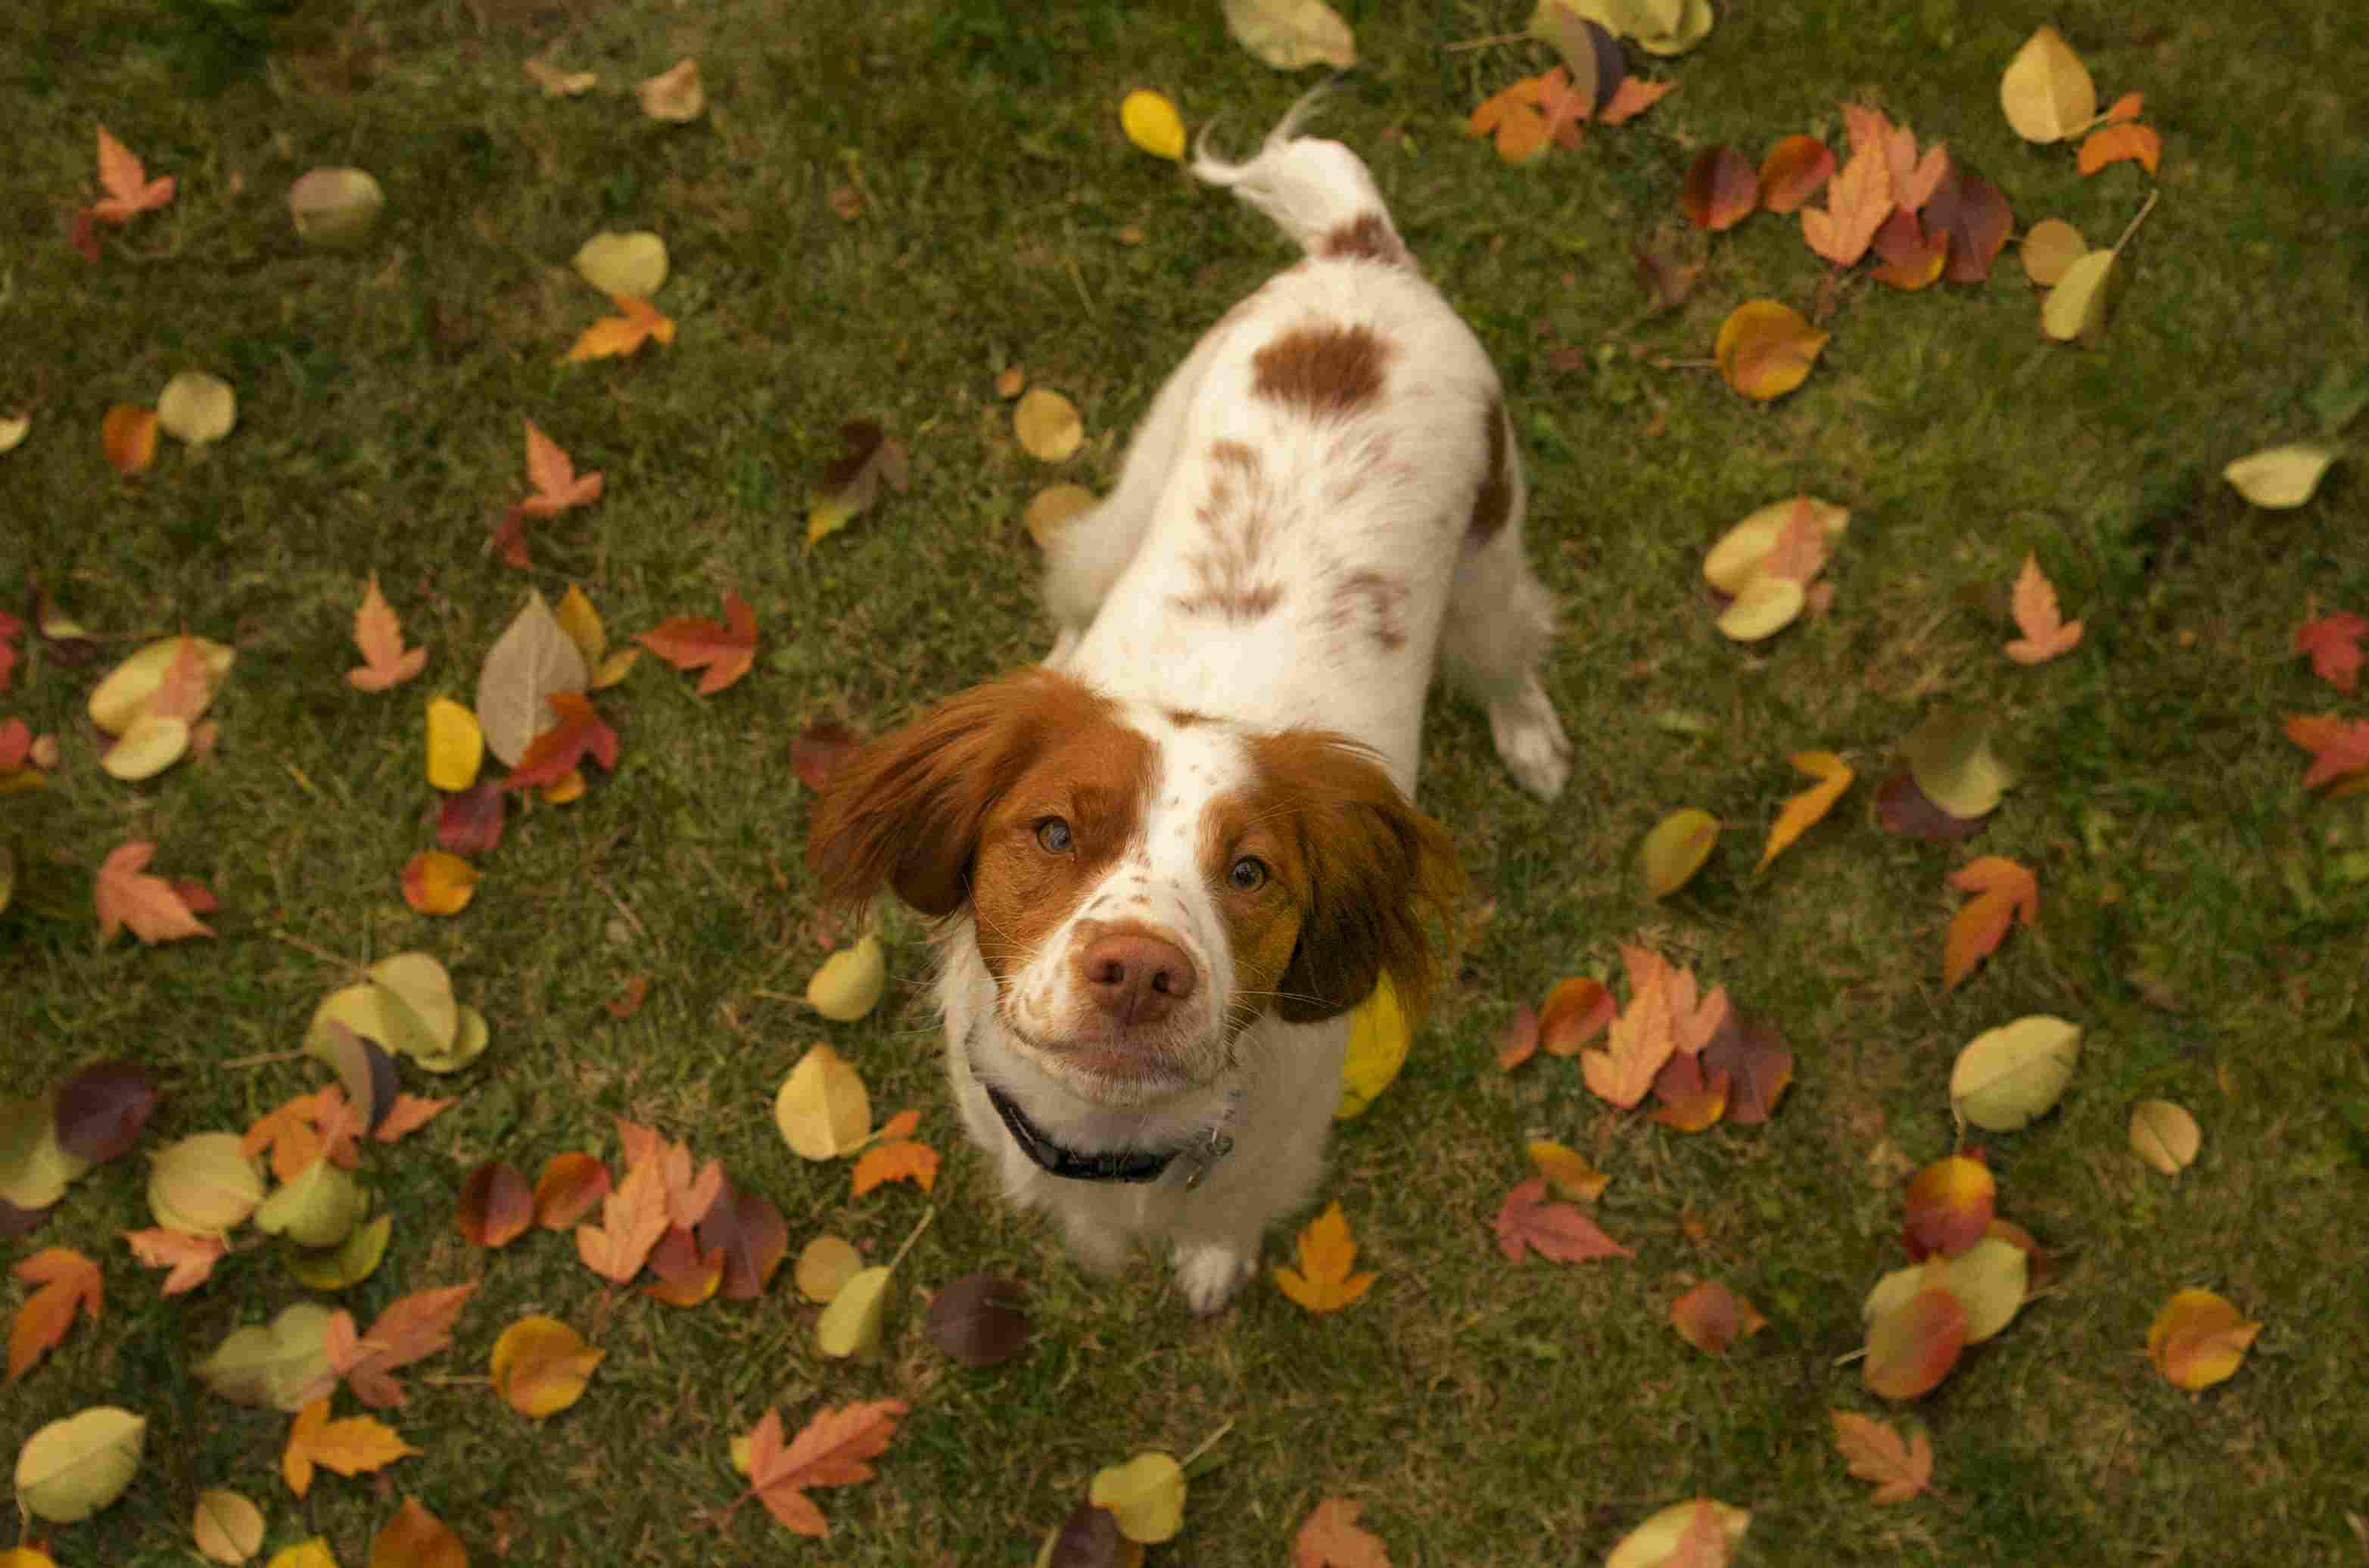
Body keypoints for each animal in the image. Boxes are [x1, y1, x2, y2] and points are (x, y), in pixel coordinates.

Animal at [814, 98, 1573, 1317]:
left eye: (1251, 871)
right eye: (1054, 831)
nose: (1138, 969)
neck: (1114, 1144)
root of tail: (1360, 257)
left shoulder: (1272, 1158)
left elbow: (1224, 1226)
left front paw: (1210, 1264)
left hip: (1492, 553)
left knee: (1509, 654)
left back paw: (1531, 738)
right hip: (1131, 485)